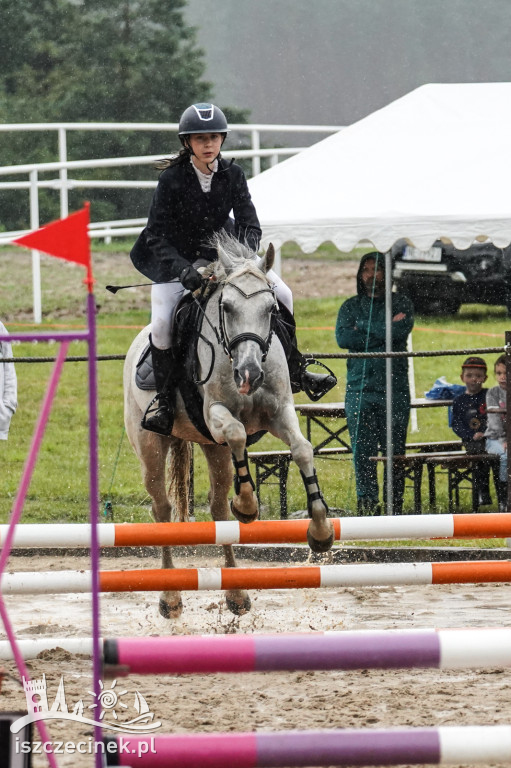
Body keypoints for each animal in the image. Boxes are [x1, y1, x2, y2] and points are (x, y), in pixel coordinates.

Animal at [125, 234, 336, 616]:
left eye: (271, 310)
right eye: (226, 308)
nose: (249, 374)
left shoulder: (279, 412)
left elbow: (302, 449)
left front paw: (320, 529)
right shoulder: (216, 414)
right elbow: (238, 432)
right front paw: (249, 506)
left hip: (213, 448)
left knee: (219, 510)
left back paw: (236, 593)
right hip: (151, 449)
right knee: (161, 509)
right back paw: (170, 597)